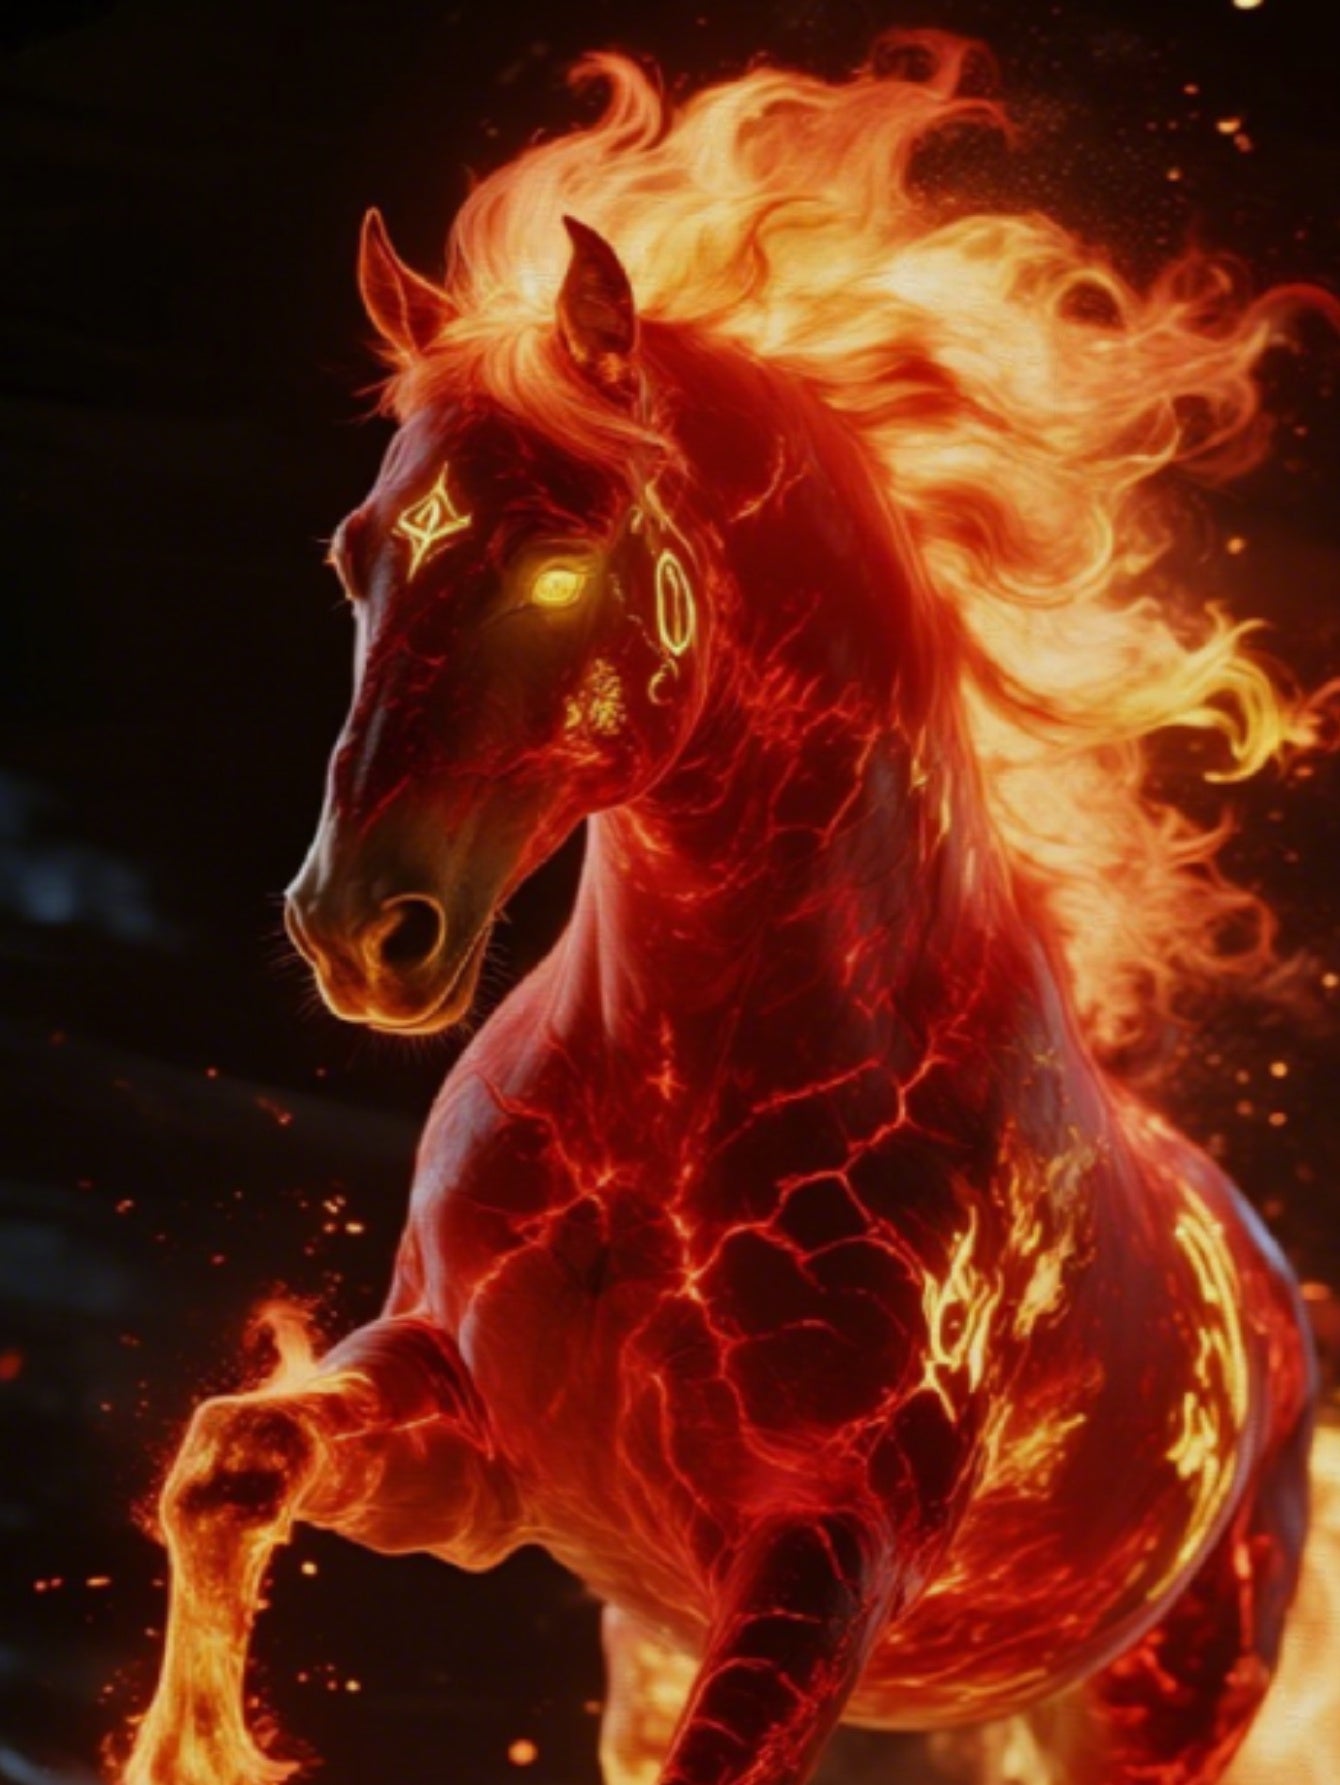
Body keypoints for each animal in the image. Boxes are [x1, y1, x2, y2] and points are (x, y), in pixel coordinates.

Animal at [120, 41, 1328, 1785]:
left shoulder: (823, 1560)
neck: (682, 1107)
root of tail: (1281, 1301)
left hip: (1151, 1713)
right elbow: (228, 1458)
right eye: (357, 552)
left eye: (563, 563)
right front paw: (192, 1747)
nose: (358, 927)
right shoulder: (468, 1446)